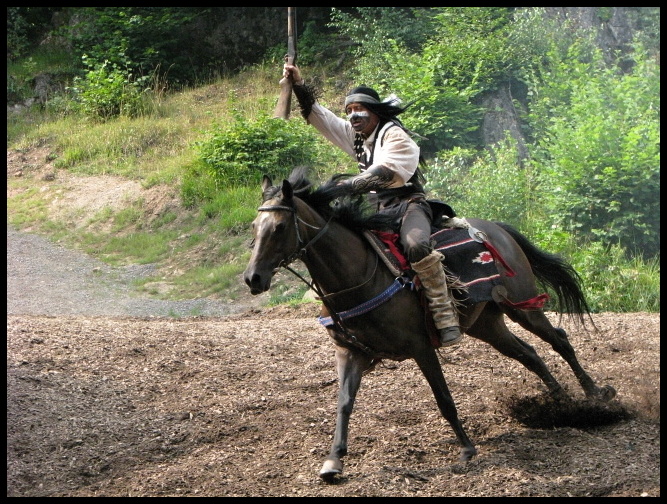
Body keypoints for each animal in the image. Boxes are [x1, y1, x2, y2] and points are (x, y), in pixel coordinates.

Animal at [244, 168, 616, 480]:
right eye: (253, 228)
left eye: (279, 227)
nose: (253, 278)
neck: (360, 275)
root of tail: (496, 228)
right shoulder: (350, 352)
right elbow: (344, 404)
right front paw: (334, 460)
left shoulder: (421, 348)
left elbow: (443, 398)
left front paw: (466, 447)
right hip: (487, 325)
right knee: (529, 354)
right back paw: (559, 401)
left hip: (522, 306)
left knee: (558, 340)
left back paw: (594, 393)